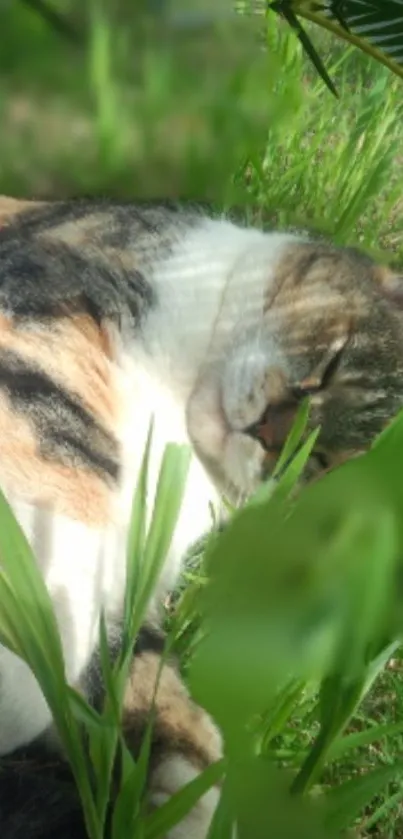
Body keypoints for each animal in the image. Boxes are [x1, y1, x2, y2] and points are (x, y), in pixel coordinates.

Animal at [0, 197, 403, 839]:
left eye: (324, 466)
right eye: (334, 362)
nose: (269, 430)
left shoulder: (135, 582)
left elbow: (147, 671)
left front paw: (190, 801)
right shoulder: (56, 294)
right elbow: (63, 431)